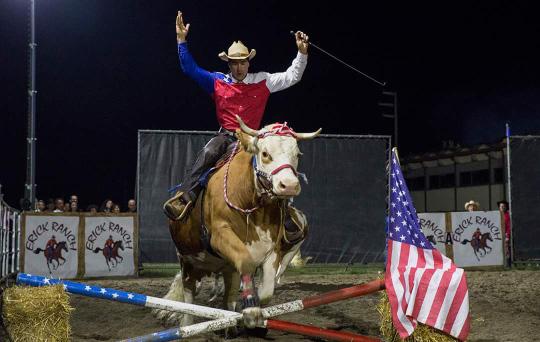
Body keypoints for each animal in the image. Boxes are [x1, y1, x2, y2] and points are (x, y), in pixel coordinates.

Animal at [153, 115, 320, 332]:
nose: (289, 185)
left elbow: (266, 291)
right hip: (187, 260)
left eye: (297, 154)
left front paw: (248, 308)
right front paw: (251, 308)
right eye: (265, 153)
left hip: (226, 269)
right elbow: (245, 261)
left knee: (229, 295)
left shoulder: (273, 249)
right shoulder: (220, 236)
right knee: (189, 297)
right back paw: (186, 324)